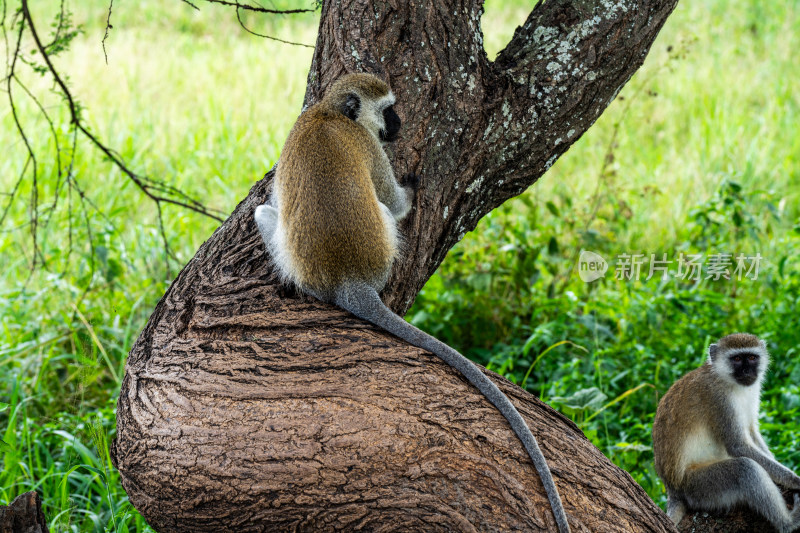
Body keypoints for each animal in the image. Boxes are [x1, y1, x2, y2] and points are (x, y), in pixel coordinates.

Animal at [253, 71, 572, 532]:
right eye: (387, 110)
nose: (399, 125)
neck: (329, 112)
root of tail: (349, 282)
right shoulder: (369, 145)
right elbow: (396, 200)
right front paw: (413, 184)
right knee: (383, 211)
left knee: (264, 213)